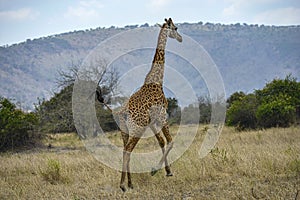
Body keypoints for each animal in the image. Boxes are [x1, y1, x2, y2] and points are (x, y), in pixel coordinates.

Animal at [98, 18, 183, 191]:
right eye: (176, 28)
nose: (180, 38)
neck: (157, 80)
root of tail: (119, 112)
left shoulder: (151, 122)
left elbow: (161, 142)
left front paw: (168, 171)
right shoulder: (162, 115)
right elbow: (170, 141)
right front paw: (155, 170)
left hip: (124, 131)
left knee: (126, 151)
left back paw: (129, 183)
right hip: (136, 129)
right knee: (128, 151)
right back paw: (123, 185)